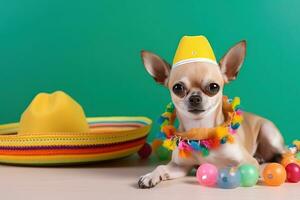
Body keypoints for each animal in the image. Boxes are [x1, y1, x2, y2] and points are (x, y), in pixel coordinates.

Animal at [137, 36, 284, 189]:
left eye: (213, 87)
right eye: (177, 88)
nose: (195, 97)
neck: (201, 131)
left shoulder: (247, 162)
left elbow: (233, 167)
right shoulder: (179, 166)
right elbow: (161, 167)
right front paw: (150, 176)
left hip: (269, 133)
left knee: (282, 152)